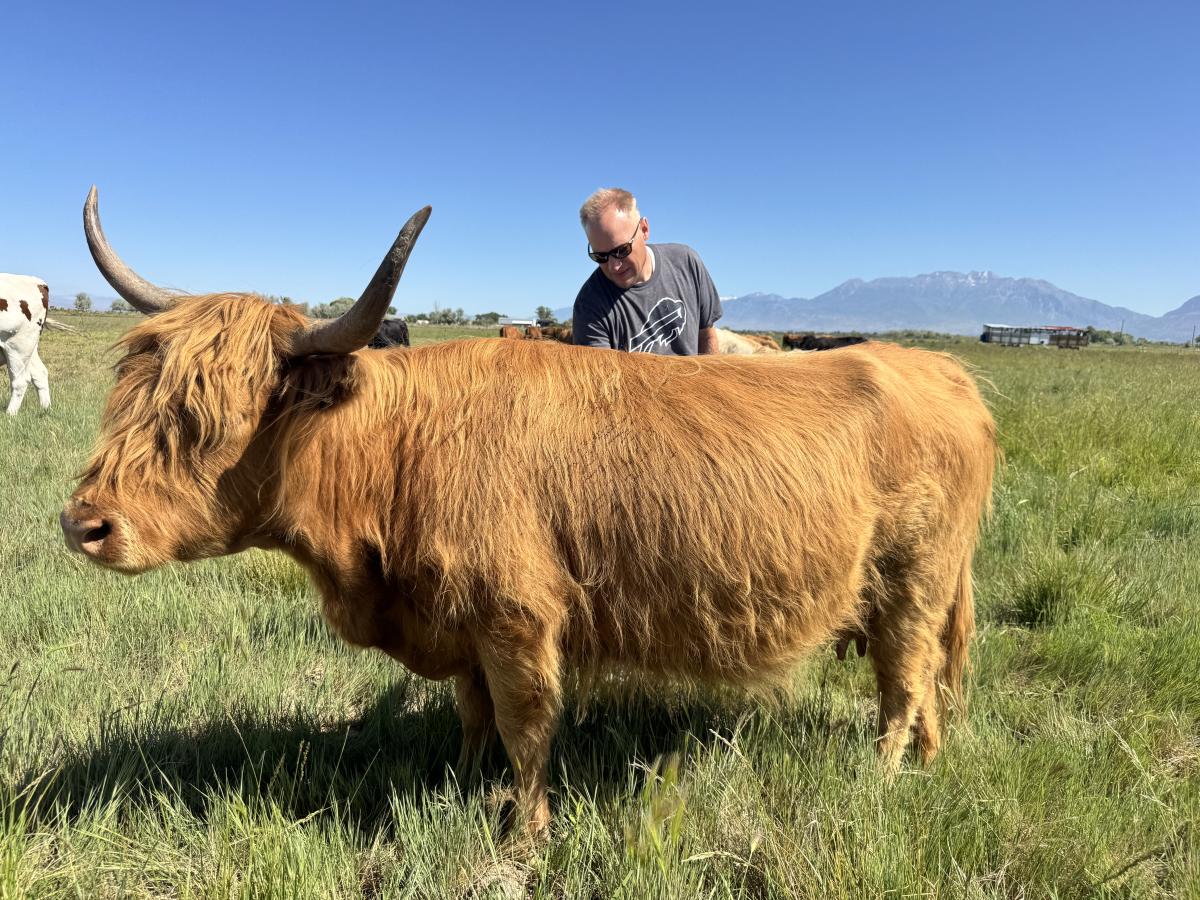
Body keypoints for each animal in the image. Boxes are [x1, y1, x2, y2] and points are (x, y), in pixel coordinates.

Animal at [0, 273, 52, 415]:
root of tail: (39, 282)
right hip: (30, 346)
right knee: (40, 373)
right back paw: (45, 408)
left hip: (18, 346)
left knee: (20, 381)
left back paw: (10, 414)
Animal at [62, 188, 996, 834]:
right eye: (133, 398)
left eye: (207, 420)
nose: (84, 524)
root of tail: (943, 372)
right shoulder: (462, 621)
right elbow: (475, 718)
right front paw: (458, 783)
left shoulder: (517, 618)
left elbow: (524, 727)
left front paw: (526, 833)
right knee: (922, 684)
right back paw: (929, 765)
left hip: (914, 579)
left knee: (904, 681)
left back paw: (881, 779)